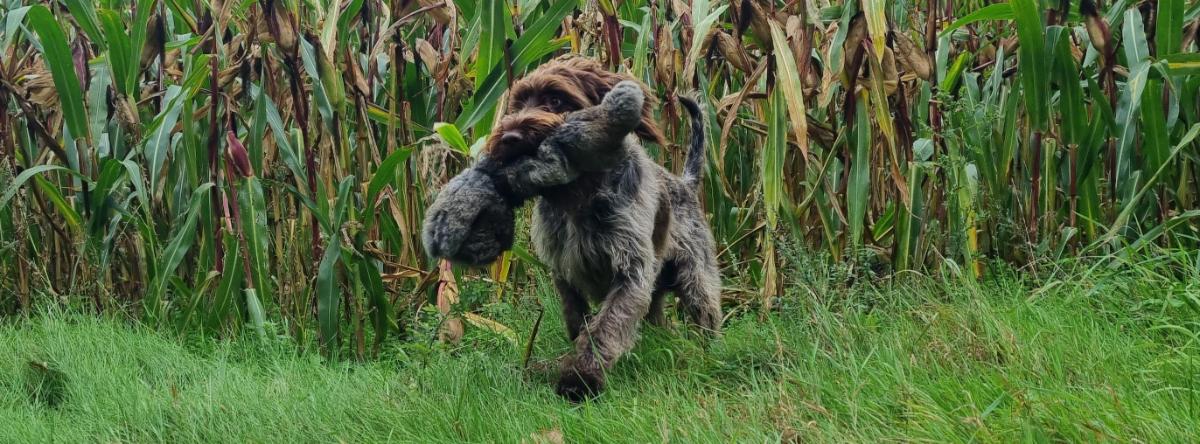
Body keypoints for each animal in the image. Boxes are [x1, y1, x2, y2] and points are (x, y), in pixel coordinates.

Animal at [494, 56, 720, 403]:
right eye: (518, 103)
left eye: (556, 99)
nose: (510, 138)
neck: (578, 195)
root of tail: (685, 182)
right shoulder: (564, 272)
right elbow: (578, 320)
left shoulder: (631, 273)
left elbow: (604, 327)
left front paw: (580, 380)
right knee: (658, 319)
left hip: (695, 276)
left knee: (704, 310)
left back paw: (709, 352)